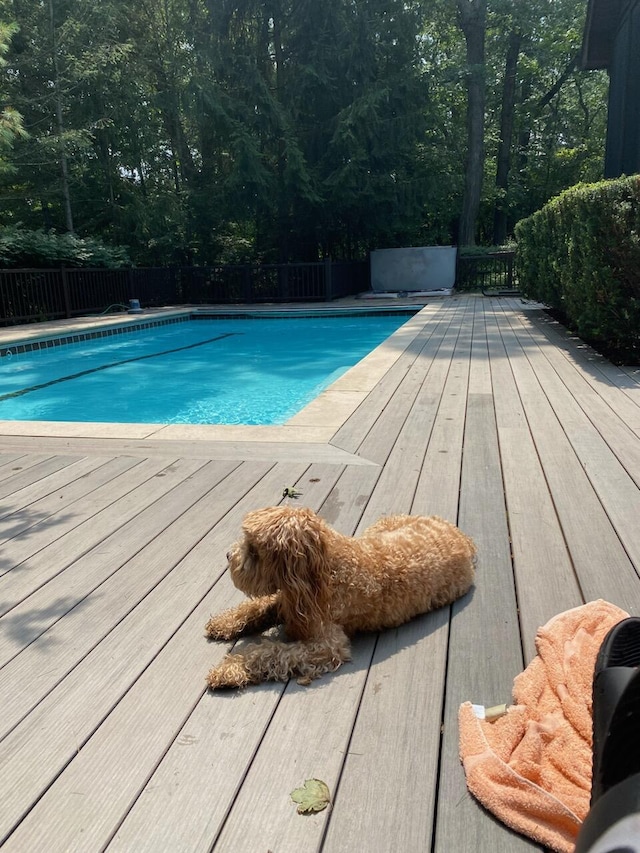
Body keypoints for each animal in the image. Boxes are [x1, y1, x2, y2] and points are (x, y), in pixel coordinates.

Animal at [205, 506, 476, 684]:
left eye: (254, 550)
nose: (228, 556)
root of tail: (463, 536)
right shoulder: (289, 602)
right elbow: (255, 608)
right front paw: (224, 622)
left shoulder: (327, 646)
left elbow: (273, 652)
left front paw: (229, 668)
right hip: (380, 527)